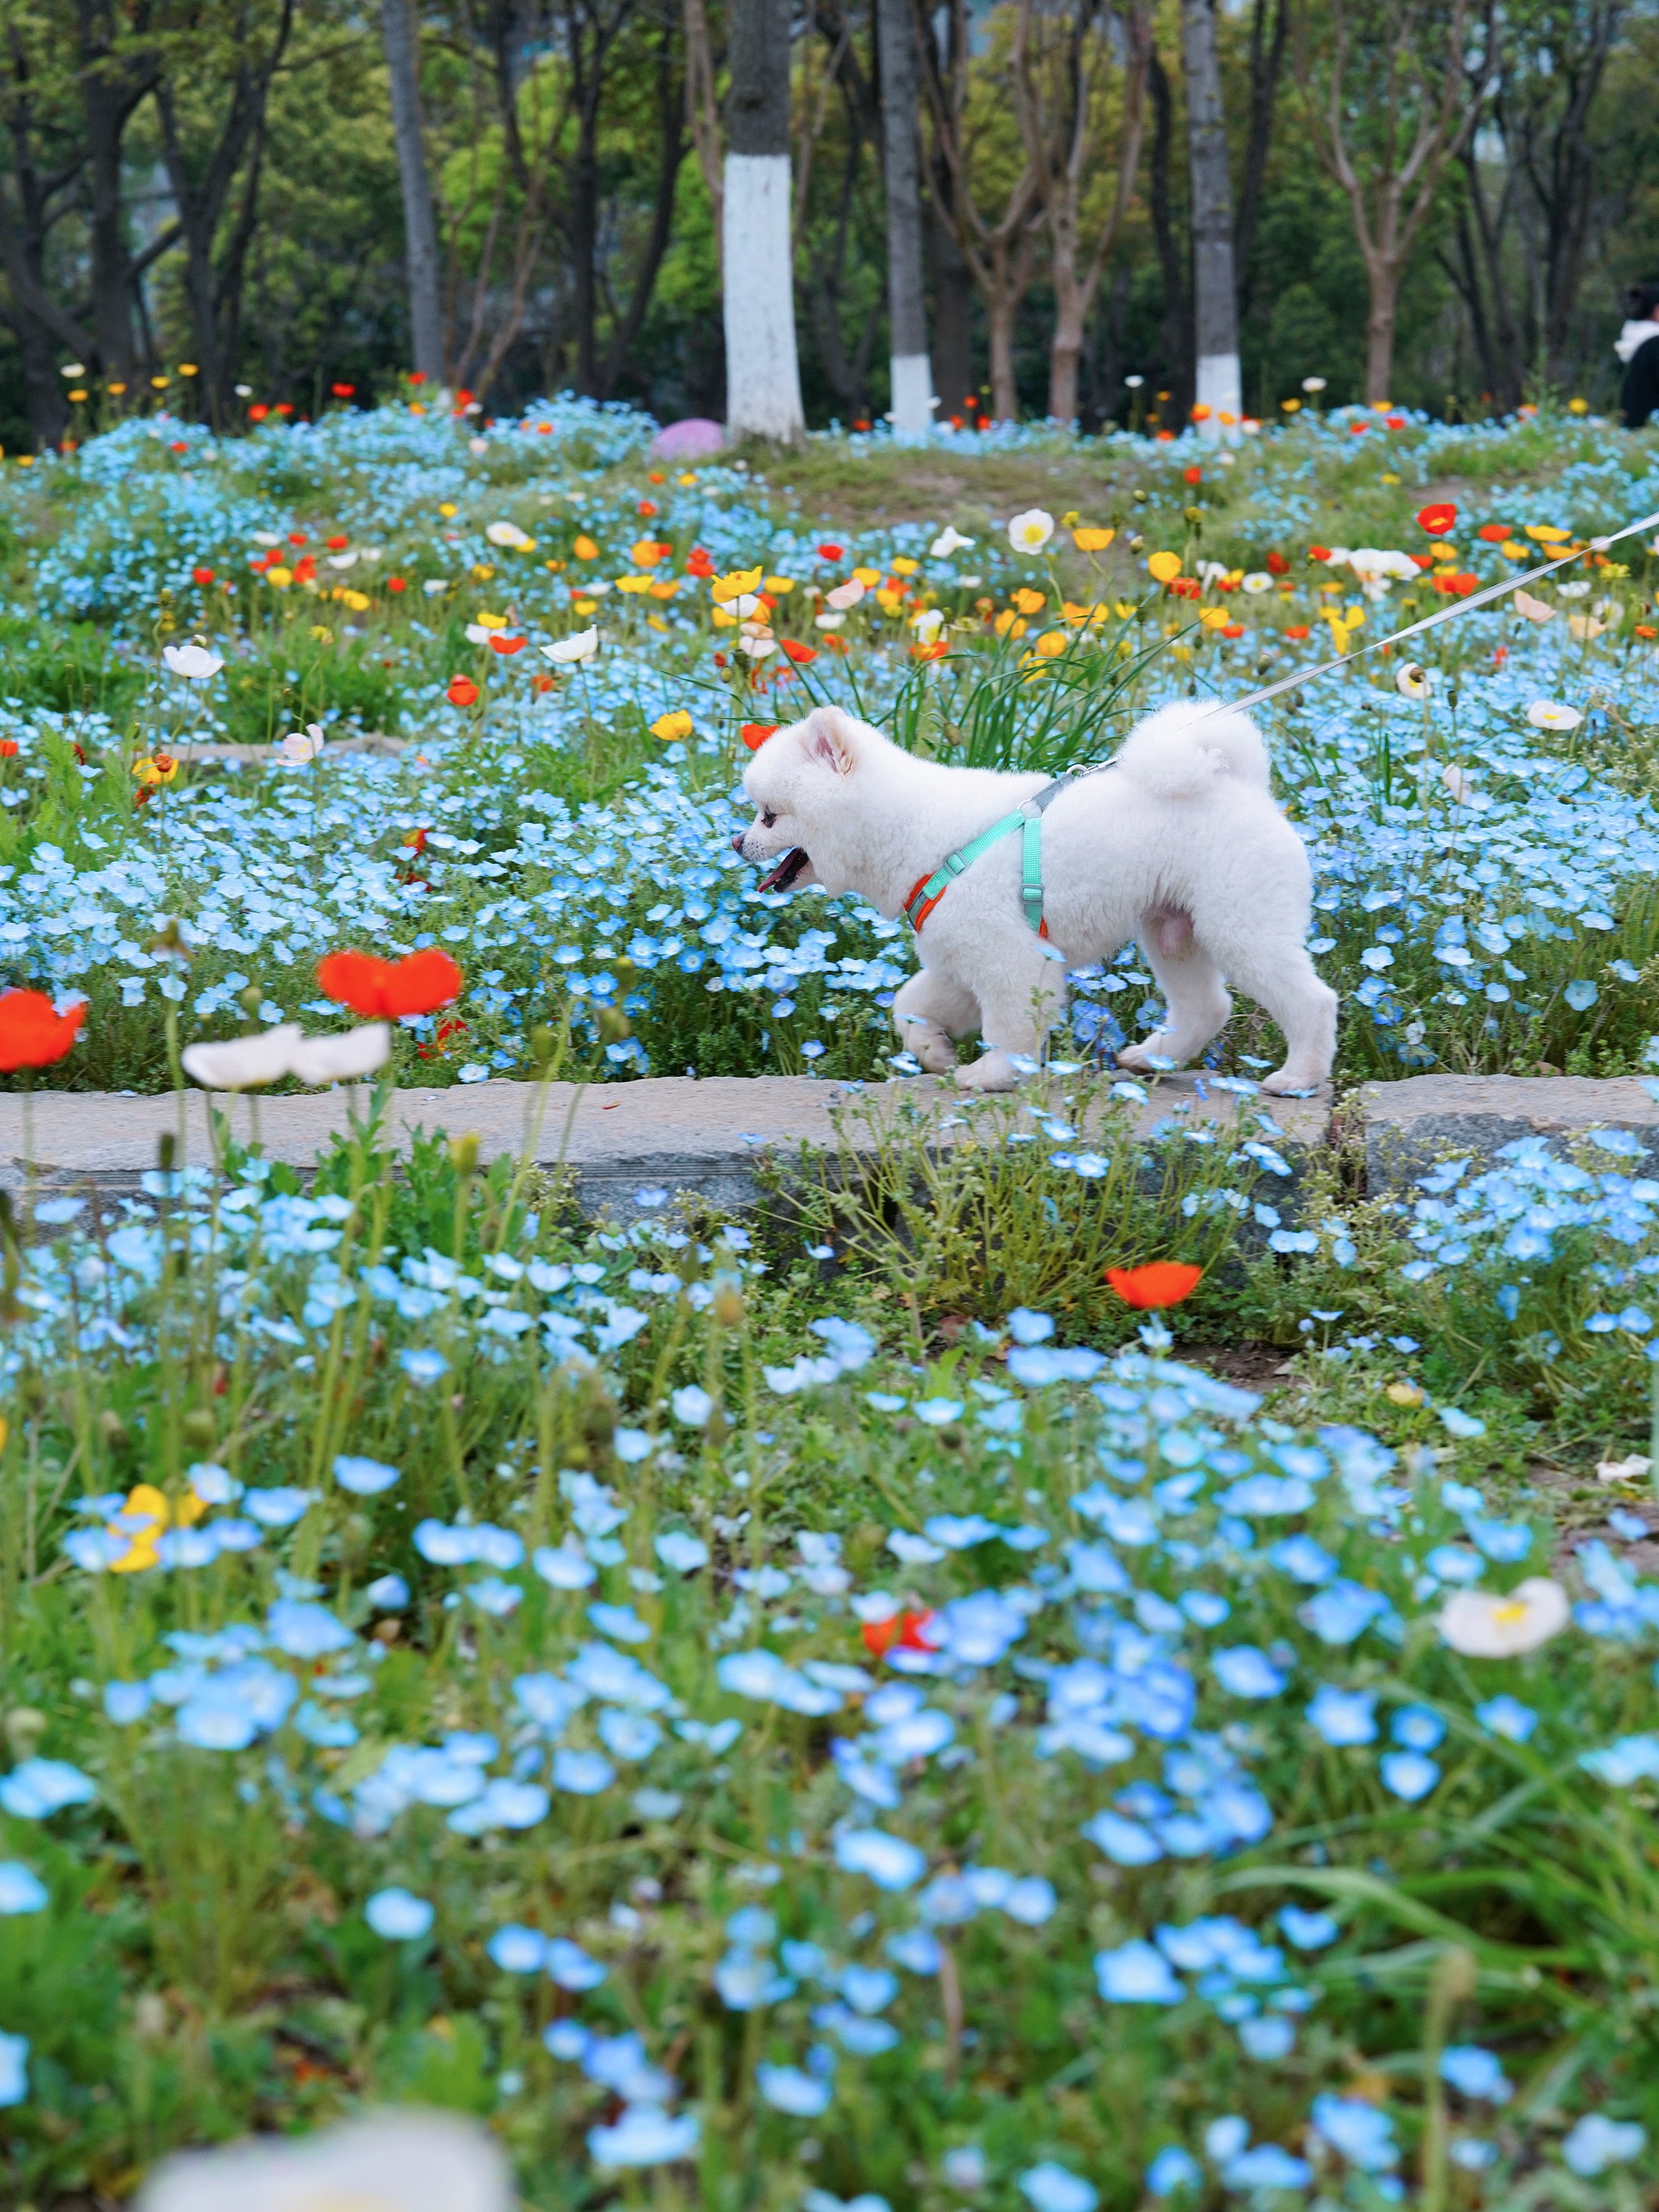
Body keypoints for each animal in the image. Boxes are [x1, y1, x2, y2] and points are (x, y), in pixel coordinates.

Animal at [734, 698, 1345, 1097]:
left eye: (769, 815)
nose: (738, 842)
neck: (907, 829)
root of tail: (1241, 783)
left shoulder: (1009, 959)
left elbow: (1006, 1030)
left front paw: (990, 1076)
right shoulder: (959, 957)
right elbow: (908, 1005)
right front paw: (934, 1052)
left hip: (1238, 926)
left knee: (1312, 1000)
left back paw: (1299, 1078)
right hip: (1172, 931)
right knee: (1207, 1006)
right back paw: (1150, 1058)